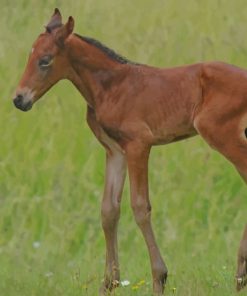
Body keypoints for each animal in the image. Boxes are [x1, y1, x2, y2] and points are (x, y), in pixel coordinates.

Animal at [13, 8, 247, 294]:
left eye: (45, 60)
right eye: (30, 56)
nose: (19, 99)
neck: (110, 86)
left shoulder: (139, 145)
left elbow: (139, 207)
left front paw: (160, 278)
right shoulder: (115, 151)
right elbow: (109, 210)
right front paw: (109, 283)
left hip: (221, 134)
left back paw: (240, 271)